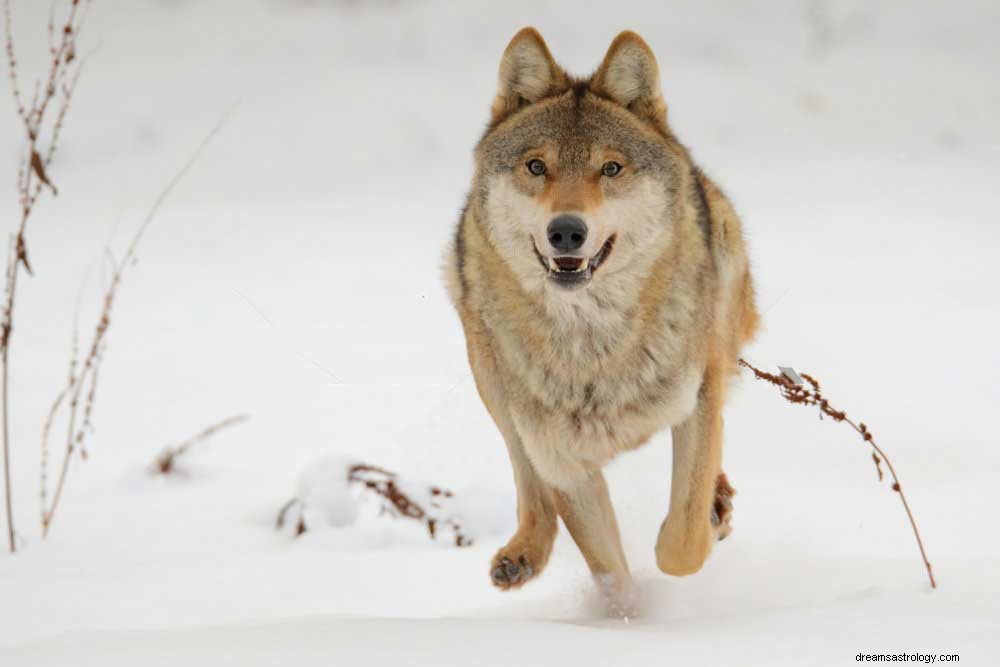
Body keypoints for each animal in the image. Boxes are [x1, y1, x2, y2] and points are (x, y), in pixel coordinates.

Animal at [446, 27, 756, 616]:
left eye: (610, 168)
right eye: (536, 167)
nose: (567, 231)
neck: (593, 346)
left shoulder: (698, 397)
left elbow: (681, 544)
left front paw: (705, 519)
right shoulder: (561, 458)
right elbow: (610, 573)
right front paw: (625, 620)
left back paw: (720, 499)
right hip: (492, 383)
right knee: (526, 480)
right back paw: (521, 556)